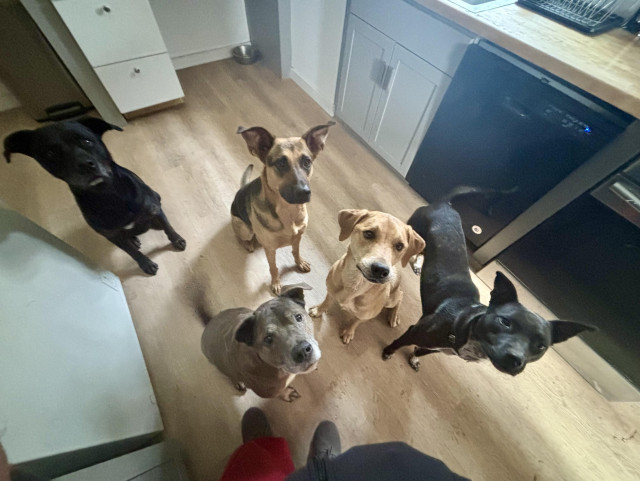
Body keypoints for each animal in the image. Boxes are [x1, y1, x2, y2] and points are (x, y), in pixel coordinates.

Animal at [3, 116, 185, 274]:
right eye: (50, 153)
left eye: (87, 141)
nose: (85, 165)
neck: (108, 195)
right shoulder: (112, 236)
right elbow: (132, 253)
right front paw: (145, 263)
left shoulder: (153, 209)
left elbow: (168, 228)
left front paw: (177, 240)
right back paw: (134, 239)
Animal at [232, 121, 338, 292]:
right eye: (281, 163)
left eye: (307, 162)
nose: (304, 192)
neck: (289, 211)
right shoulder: (270, 249)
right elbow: (273, 267)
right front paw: (276, 282)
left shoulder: (298, 236)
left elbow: (296, 251)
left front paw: (299, 262)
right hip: (244, 228)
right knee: (243, 237)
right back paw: (248, 244)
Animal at [308, 208, 424, 344]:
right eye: (369, 233)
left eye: (399, 246)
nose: (381, 270)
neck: (356, 284)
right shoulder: (330, 291)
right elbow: (326, 303)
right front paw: (318, 310)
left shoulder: (365, 315)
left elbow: (355, 322)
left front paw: (348, 332)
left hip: (391, 300)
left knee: (400, 296)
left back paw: (394, 315)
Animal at [380, 190, 596, 376]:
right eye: (505, 322)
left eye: (541, 346)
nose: (515, 359)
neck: (467, 325)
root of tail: (444, 204)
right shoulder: (414, 331)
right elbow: (398, 342)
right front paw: (388, 351)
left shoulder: (437, 348)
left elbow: (420, 351)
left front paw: (415, 359)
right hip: (414, 231)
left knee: (422, 252)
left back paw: (418, 263)